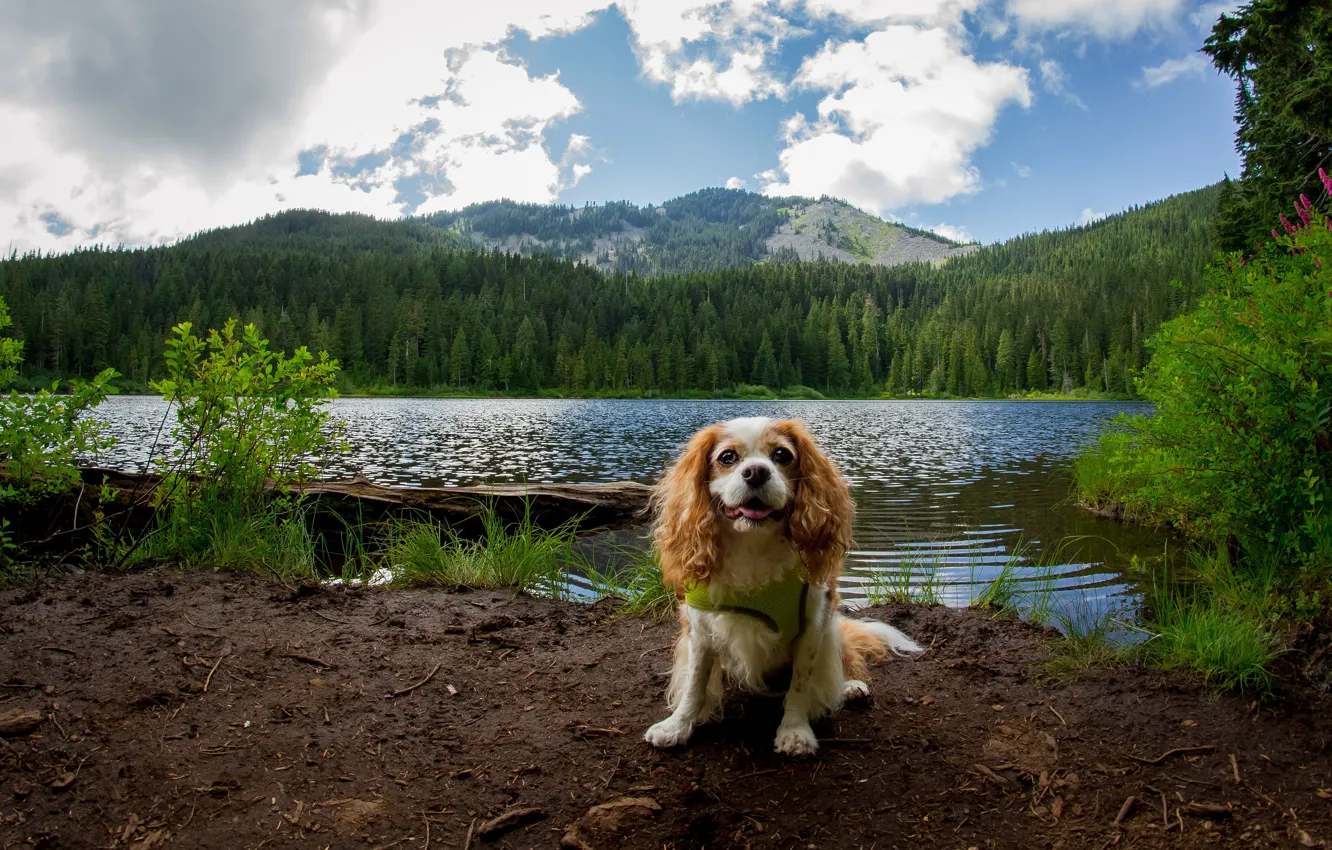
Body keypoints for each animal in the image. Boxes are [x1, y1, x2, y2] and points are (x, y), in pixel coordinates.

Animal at [642, 415, 916, 756]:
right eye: (727, 457)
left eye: (782, 455)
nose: (757, 471)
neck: (753, 543)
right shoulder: (699, 629)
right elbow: (694, 684)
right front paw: (677, 726)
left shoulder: (813, 624)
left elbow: (800, 685)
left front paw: (795, 731)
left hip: (832, 629)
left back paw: (850, 685)